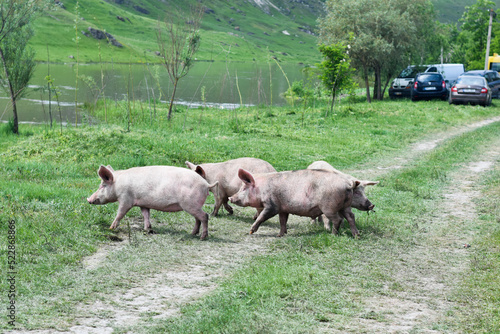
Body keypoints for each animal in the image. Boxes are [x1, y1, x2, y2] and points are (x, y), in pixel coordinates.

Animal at [85, 165, 217, 240]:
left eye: (103, 186)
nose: (88, 199)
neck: (118, 185)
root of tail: (206, 184)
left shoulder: (125, 199)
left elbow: (120, 213)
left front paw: (111, 228)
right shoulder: (143, 203)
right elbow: (146, 215)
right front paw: (147, 230)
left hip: (190, 204)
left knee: (204, 216)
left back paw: (202, 238)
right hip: (193, 205)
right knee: (198, 218)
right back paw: (192, 234)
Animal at [229, 170, 362, 237]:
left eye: (243, 188)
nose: (231, 197)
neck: (261, 189)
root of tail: (348, 184)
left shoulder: (272, 205)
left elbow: (262, 217)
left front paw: (250, 231)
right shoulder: (283, 208)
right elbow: (282, 221)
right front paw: (280, 235)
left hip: (329, 207)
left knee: (338, 219)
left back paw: (333, 235)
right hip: (345, 205)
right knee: (351, 216)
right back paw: (356, 235)